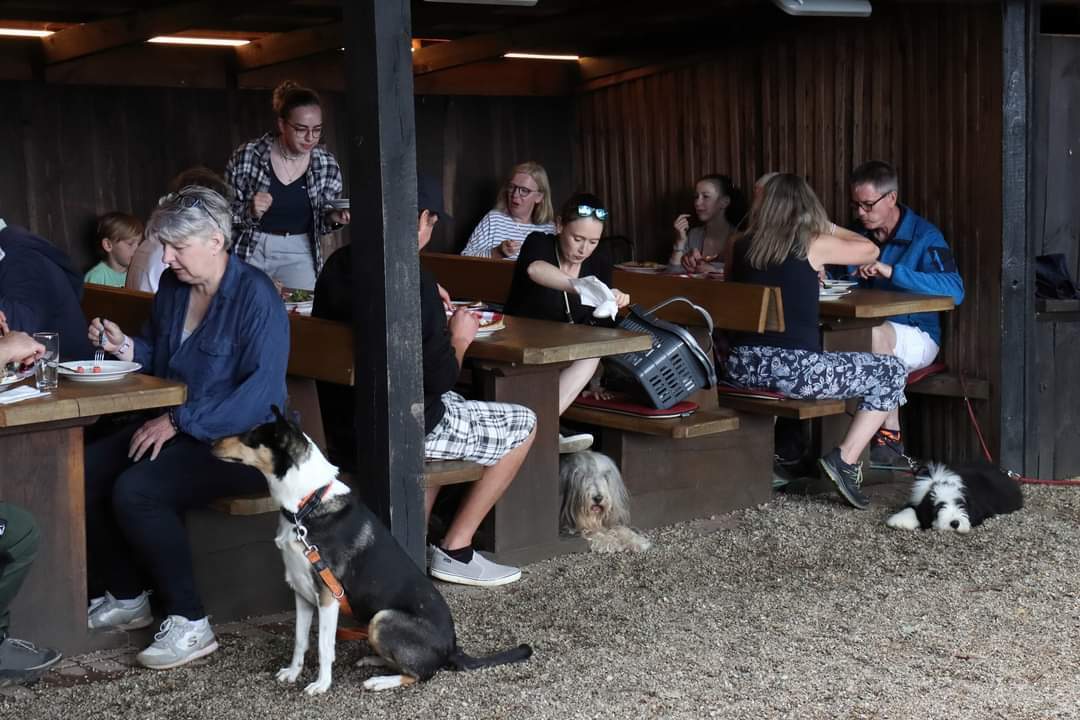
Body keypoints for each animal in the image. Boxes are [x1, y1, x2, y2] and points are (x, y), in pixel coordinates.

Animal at [212, 407, 531, 695]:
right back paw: (374, 659)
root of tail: (452, 649)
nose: (211, 442)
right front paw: (293, 673)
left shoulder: (328, 595)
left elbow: (324, 646)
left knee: (421, 673)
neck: (306, 505)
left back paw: (381, 681)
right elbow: (300, 641)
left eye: (250, 437)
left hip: (382, 619)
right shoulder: (302, 593)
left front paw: (321, 685)